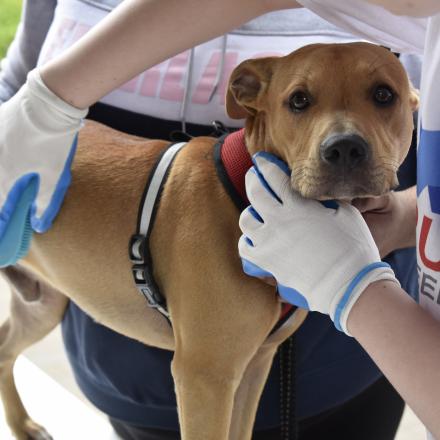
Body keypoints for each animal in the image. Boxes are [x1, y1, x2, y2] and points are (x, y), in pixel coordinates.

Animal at [0, 43, 418, 440]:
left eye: (384, 94)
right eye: (298, 100)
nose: (344, 148)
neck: (244, 189)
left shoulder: (254, 364)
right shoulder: (204, 378)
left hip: (43, 304)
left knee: (4, 349)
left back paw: (22, 425)